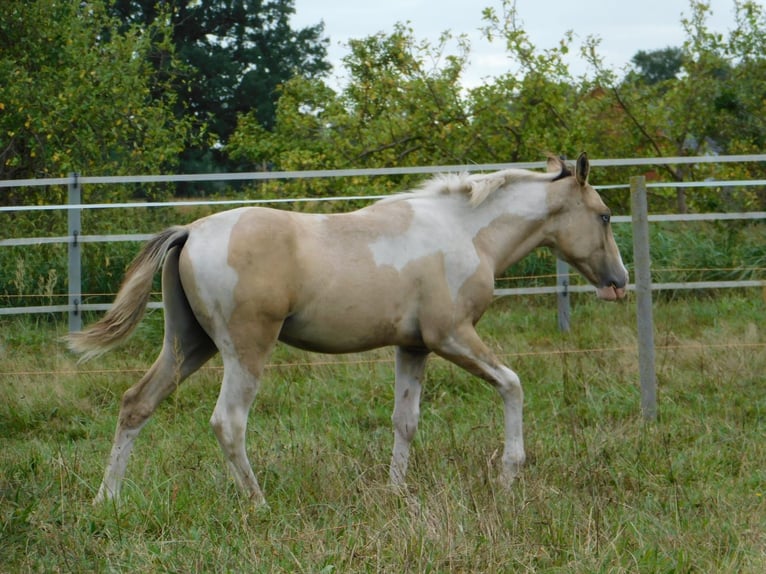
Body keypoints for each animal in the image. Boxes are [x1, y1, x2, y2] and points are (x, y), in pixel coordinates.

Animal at [66, 154, 632, 508]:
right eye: (604, 216)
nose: (619, 283)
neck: (466, 232)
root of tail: (191, 231)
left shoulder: (414, 347)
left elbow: (405, 420)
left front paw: (397, 493)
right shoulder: (452, 337)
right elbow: (512, 384)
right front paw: (510, 474)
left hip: (189, 345)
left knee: (136, 404)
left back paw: (105, 499)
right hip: (244, 351)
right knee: (228, 422)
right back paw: (258, 503)